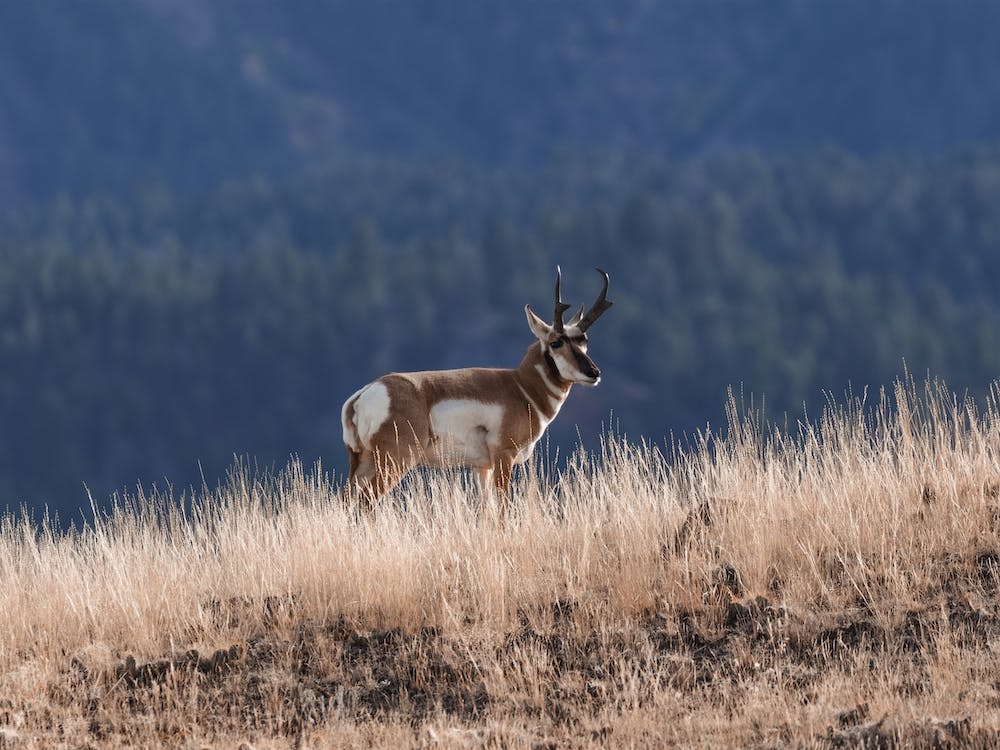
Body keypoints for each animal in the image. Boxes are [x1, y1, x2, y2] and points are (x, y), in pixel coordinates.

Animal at [340, 267, 613, 511]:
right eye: (556, 342)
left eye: (583, 341)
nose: (594, 373)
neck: (521, 386)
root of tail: (363, 395)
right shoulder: (504, 456)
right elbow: (502, 507)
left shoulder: (482, 467)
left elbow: (487, 510)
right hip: (395, 461)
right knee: (366, 501)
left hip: (363, 463)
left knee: (344, 501)